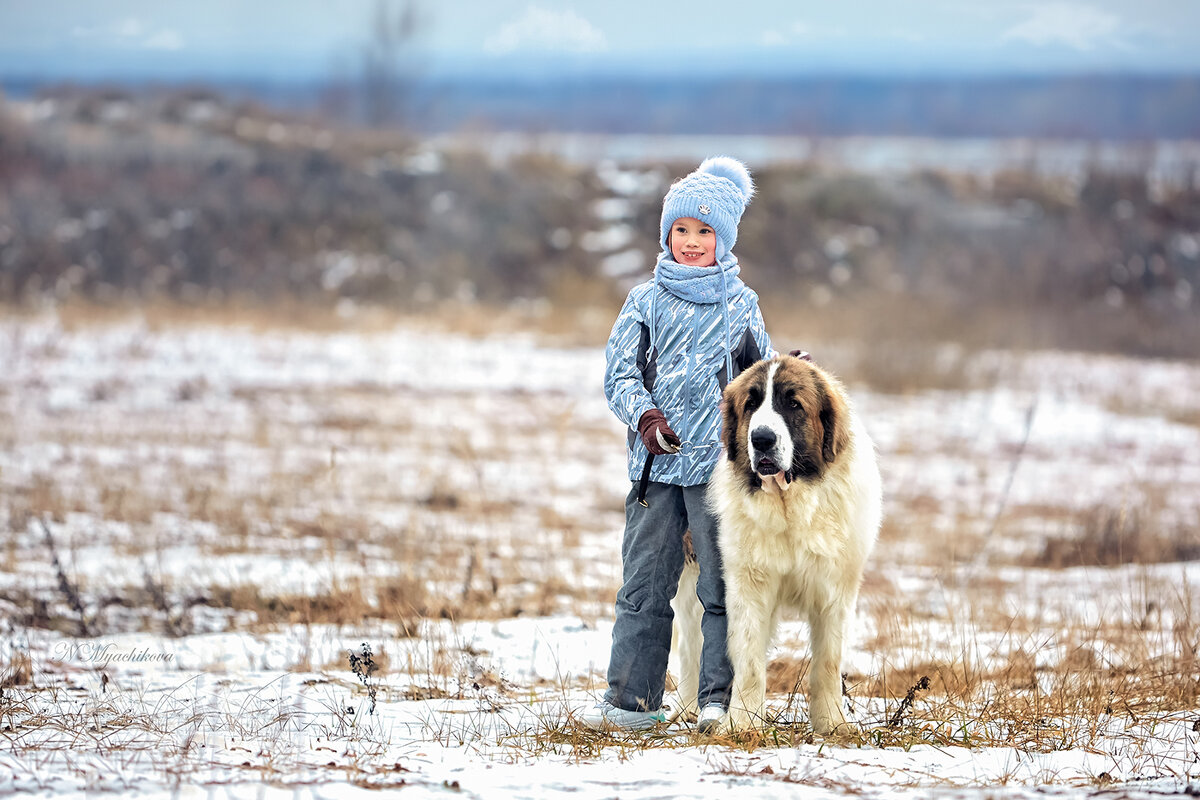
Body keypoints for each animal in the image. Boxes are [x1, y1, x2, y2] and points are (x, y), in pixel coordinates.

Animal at [676, 352, 883, 734]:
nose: (761, 439)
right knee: (690, 643)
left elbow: (828, 662)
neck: (789, 504)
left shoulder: (835, 588)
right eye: (751, 405)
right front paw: (742, 724)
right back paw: (686, 708)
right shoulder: (747, 584)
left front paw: (832, 724)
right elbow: (748, 658)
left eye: (794, 404)